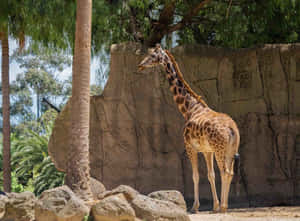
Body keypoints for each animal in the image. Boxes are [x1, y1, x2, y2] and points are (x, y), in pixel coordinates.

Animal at [139, 44, 241, 212]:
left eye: (153, 55)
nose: (140, 65)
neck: (189, 109)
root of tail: (232, 129)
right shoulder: (207, 150)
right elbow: (210, 175)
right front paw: (214, 205)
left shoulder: (189, 146)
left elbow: (195, 176)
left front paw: (195, 206)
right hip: (230, 150)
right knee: (230, 172)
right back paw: (223, 206)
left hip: (220, 149)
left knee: (225, 172)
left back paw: (224, 206)